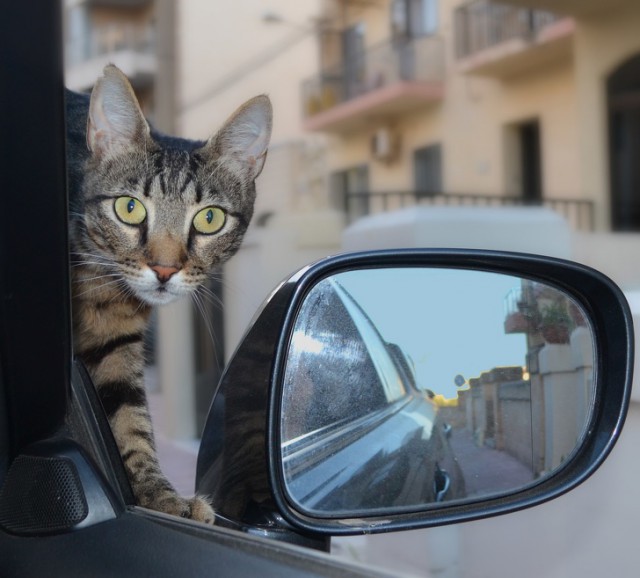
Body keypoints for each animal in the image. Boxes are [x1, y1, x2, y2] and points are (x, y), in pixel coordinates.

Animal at [66, 64, 272, 520]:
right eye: (129, 208)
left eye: (210, 218)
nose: (164, 269)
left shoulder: (116, 340)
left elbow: (130, 420)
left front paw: (159, 496)